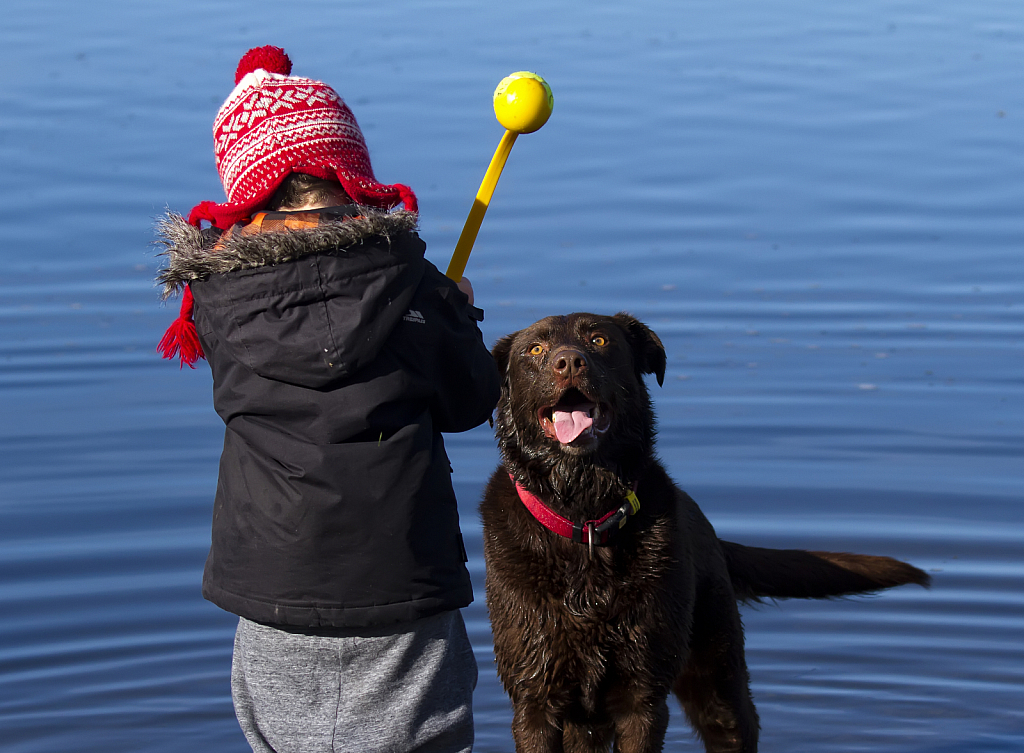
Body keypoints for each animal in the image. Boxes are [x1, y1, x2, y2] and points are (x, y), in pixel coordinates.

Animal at [479, 311, 929, 753]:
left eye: (599, 341)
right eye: (536, 350)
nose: (569, 362)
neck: (585, 518)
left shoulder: (643, 701)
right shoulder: (535, 704)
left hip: (717, 680)